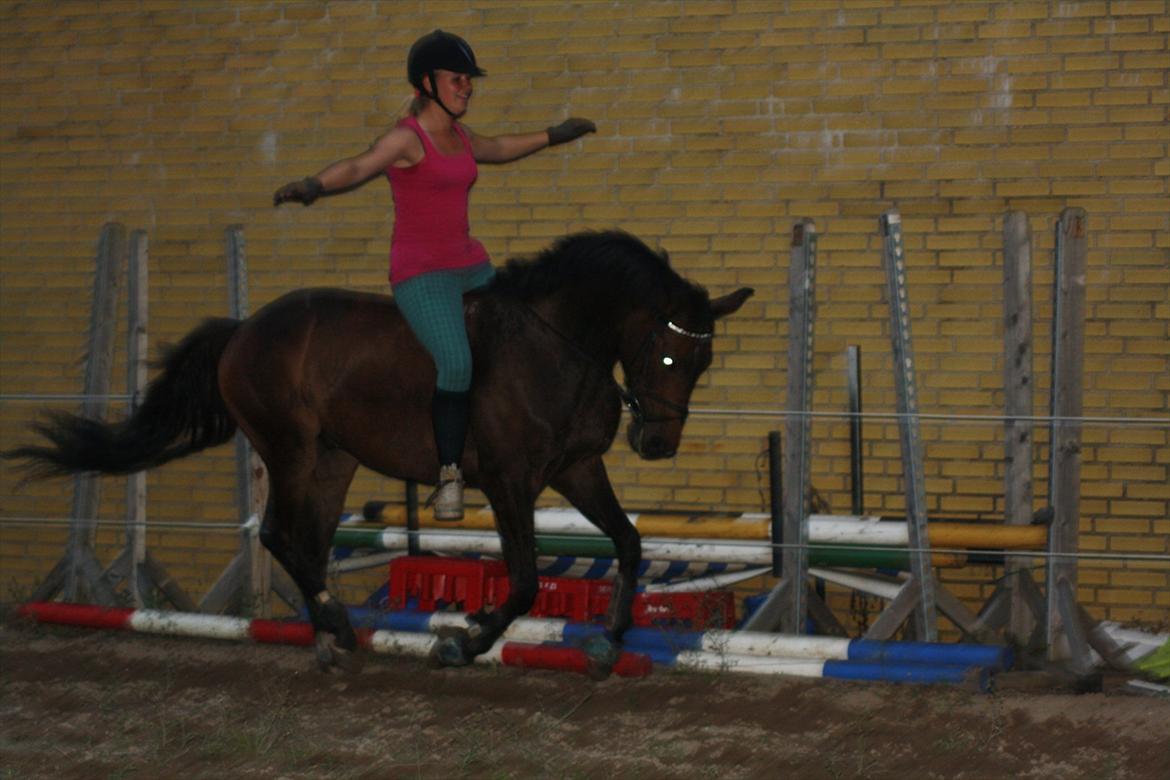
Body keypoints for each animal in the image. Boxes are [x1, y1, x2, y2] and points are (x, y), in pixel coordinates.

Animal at [9, 230, 753, 678]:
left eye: (703, 363)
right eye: (668, 355)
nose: (656, 444)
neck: (556, 344)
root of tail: (244, 329)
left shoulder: (576, 469)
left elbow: (628, 543)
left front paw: (607, 639)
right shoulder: (509, 481)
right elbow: (522, 580)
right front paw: (464, 639)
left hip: (333, 460)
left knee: (308, 540)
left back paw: (328, 634)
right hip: (290, 448)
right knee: (281, 535)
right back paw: (337, 628)